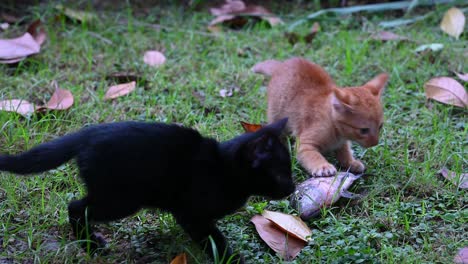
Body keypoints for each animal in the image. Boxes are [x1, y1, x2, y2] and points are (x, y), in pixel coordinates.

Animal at [0, 118, 292, 262]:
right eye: (279, 174)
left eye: (289, 171)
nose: (291, 187)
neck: (224, 168)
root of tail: (88, 134)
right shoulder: (192, 214)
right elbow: (214, 239)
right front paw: (230, 259)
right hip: (121, 199)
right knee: (75, 207)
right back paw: (90, 244)